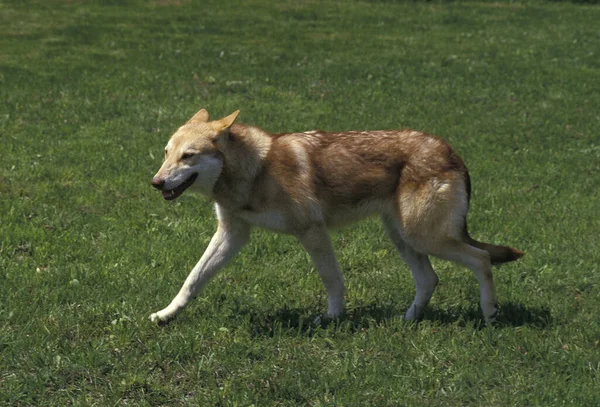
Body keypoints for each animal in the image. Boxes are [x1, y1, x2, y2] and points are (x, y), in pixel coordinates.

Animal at [151, 109, 524, 326]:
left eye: (189, 156)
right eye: (166, 154)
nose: (155, 183)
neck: (254, 172)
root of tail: (451, 150)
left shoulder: (313, 232)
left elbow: (332, 280)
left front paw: (332, 319)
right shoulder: (232, 234)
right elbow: (192, 280)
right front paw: (166, 315)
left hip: (424, 237)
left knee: (481, 259)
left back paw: (490, 315)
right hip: (404, 238)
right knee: (430, 279)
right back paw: (406, 320)